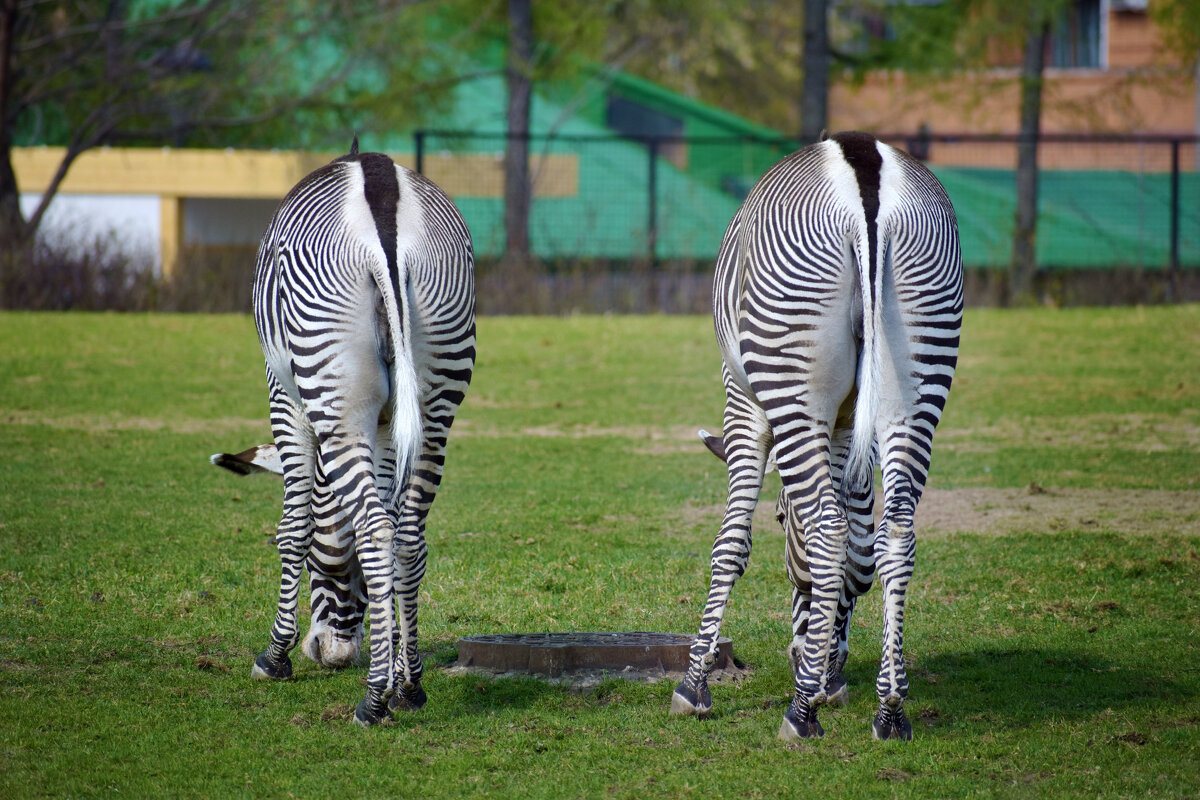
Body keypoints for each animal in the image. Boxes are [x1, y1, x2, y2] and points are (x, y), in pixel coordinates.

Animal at [223, 140, 475, 729]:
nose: (333, 655)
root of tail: (380, 188)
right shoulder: (385, 425)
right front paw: (402, 670)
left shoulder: (286, 398)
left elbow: (295, 525)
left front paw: (275, 656)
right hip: (437, 395)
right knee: (406, 535)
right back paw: (408, 689)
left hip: (330, 389)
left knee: (377, 530)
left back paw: (375, 700)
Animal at [672, 133, 960, 743]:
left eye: (780, 518)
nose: (798, 653)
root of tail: (866, 173)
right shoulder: (849, 423)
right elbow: (859, 547)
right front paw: (832, 672)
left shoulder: (745, 407)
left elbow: (731, 543)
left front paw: (695, 683)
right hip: (917, 373)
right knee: (895, 535)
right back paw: (890, 710)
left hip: (788, 372)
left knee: (829, 532)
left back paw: (801, 711)